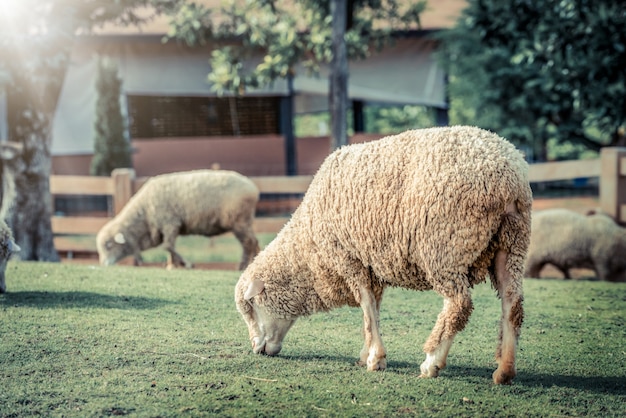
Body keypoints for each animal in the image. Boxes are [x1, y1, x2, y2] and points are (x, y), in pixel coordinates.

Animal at [94, 170, 258, 272]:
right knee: (254, 241)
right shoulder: (168, 227)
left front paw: (184, 264)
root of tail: (253, 188)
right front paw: (174, 265)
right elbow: (169, 247)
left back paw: (243, 266)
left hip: (239, 220)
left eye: (108, 245)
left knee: (248, 243)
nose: (103, 264)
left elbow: (168, 246)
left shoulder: (170, 223)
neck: (144, 213)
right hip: (245, 221)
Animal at [236, 126, 528, 386]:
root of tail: (509, 176)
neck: (308, 248)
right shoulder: (371, 266)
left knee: (459, 305)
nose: (256, 349)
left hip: (445, 247)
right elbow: (373, 312)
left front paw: (375, 359)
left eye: (250, 308)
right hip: (511, 244)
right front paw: (367, 353)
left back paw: (431, 362)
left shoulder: (350, 259)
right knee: (512, 304)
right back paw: (504, 371)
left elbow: (366, 308)